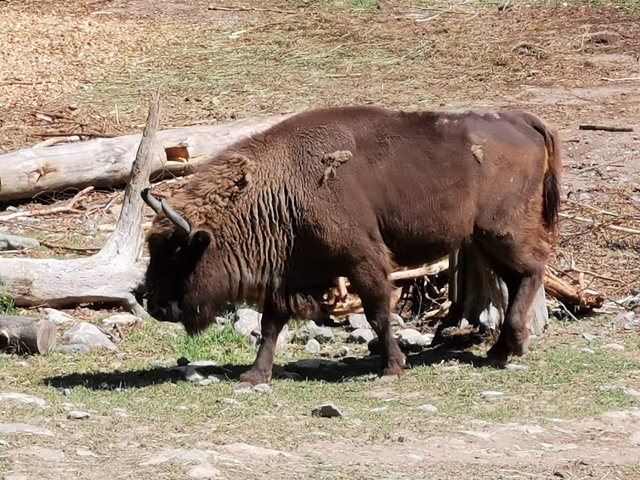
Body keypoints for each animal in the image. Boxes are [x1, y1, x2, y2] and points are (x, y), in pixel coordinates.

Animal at [142, 105, 561, 385]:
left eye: (180, 254)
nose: (157, 307)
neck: (282, 185)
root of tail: (520, 119)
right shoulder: (288, 274)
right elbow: (270, 325)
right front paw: (255, 375)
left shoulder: (364, 260)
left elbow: (378, 312)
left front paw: (392, 367)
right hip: (484, 239)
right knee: (518, 277)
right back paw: (501, 350)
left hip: (501, 231)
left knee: (532, 268)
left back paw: (508, 347)